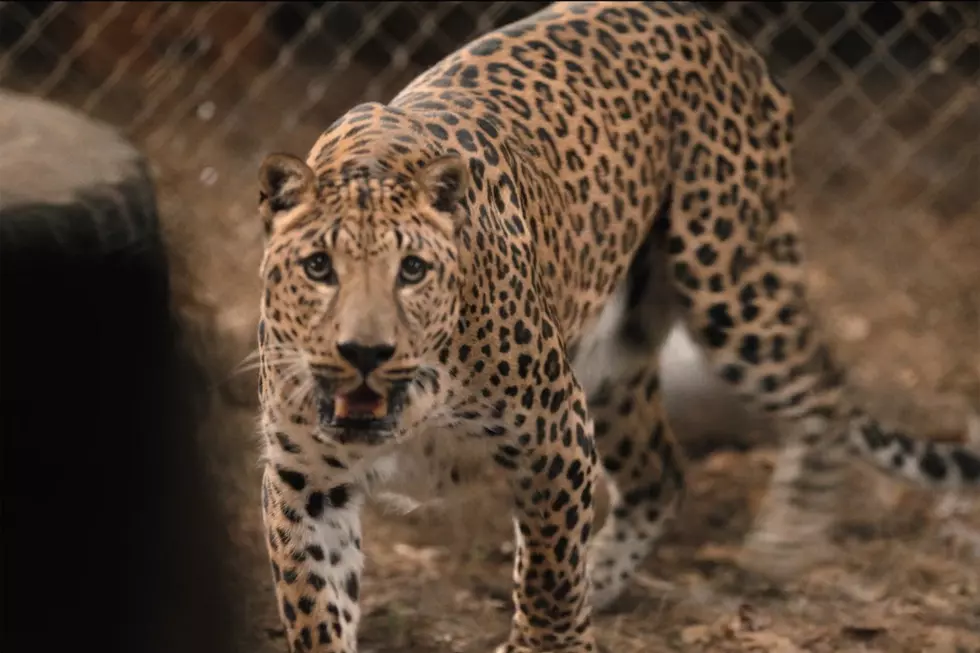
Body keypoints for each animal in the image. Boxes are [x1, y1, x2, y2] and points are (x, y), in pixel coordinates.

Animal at [252, 2, 980, 652]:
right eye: (319, 267)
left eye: (412, 269)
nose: (364, 352)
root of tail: (716, 29)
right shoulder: (303, 480)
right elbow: (316, 606)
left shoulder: (553, 431)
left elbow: (547, 574)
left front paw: (548, 641)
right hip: (614, 357)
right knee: (663, 473)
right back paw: (603, 575)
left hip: (731, 280)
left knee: (824, 392)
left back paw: (783, 542)